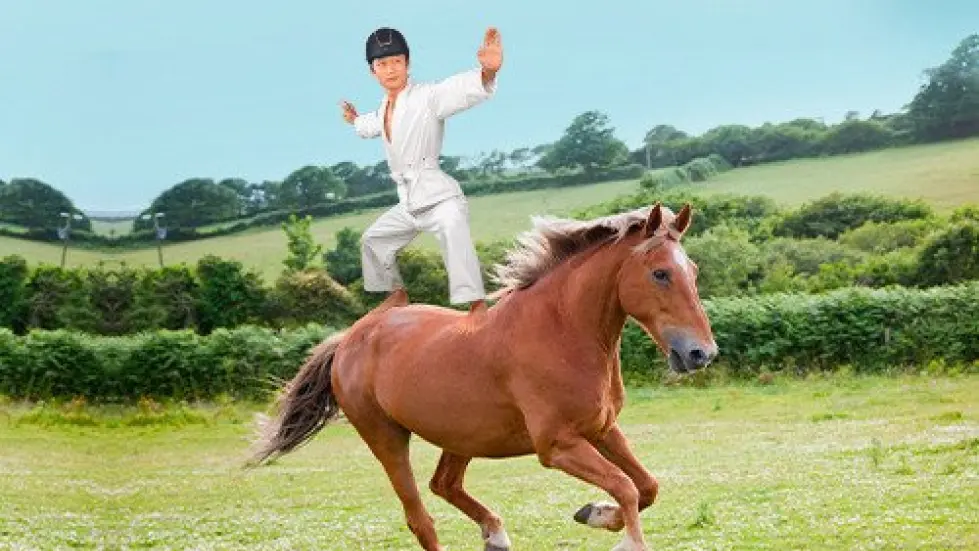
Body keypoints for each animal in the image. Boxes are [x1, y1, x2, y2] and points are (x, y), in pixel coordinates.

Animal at [248, 201, 718, 551]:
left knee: (444, 484)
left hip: (462, 436)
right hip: (387, 439)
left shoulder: (602, 429)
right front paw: (622, 535)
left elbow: (646, 486)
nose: (701, 354)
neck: (562, 331)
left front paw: (593, 513)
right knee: (420, 518)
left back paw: (495, 534)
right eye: (660, 273)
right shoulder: (558, 445)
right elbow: (626, 487)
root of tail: (349, 338)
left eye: (693, 271)